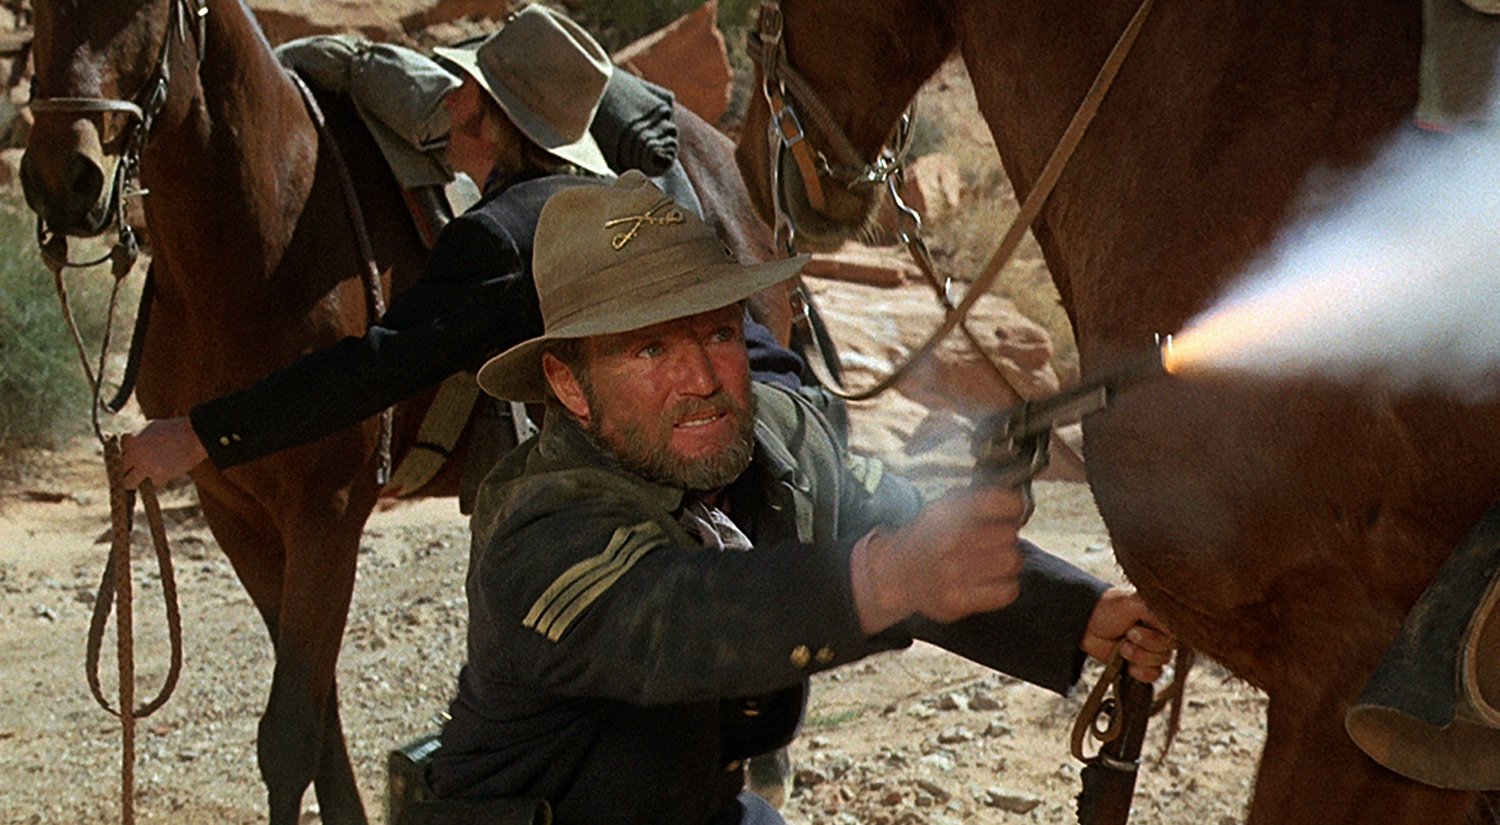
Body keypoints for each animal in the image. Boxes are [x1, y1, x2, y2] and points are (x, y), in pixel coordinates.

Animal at [18, 1, 777, 823]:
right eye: (36, 13)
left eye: (149, 10)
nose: (63, 178)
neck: (252, 253)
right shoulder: (235, 513)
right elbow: (318, 718)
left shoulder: (326, 509)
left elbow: (289, 735)